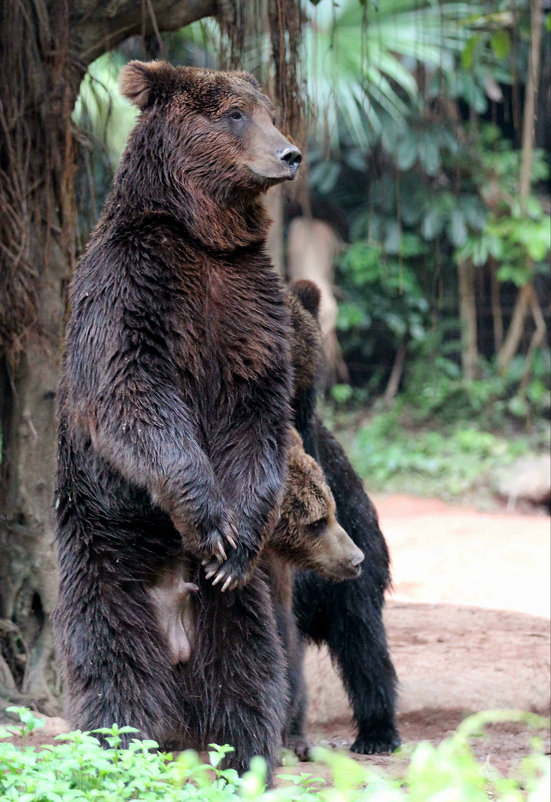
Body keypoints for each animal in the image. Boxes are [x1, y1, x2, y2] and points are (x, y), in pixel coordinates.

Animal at [53, 59, 302, 780]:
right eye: (233, 115)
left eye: (268, 109)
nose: (290, 154)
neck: (202, 235)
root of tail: (175, 625)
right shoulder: (134, 287)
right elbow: (135, 395)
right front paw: (211, 521)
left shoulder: (248, 303)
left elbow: (257, 412)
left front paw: (233, 542)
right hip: (103, 556)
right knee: (114, 669)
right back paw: (117, 753)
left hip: (233, 610)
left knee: (247, 673)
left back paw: (251, 759)